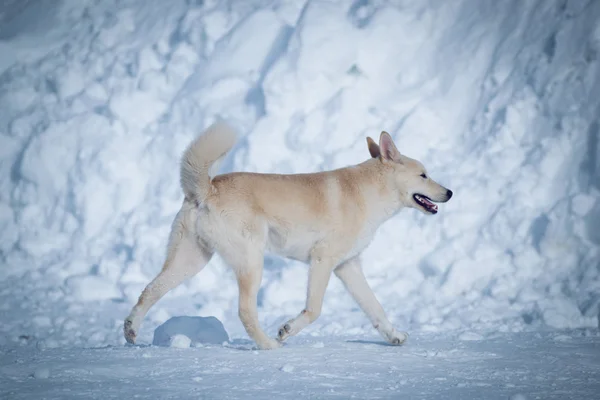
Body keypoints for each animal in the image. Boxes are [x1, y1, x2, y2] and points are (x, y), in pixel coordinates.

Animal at [123, 122, 450, 350]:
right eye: (423, 175)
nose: (449, 192)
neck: (370, 192)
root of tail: (207, 189)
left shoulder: (349, 266)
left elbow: (376, 308)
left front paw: (393, 335)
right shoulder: (323, 261)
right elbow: (314, 310)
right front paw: (287, 330)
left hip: (190, 261)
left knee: (149, 291)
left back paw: (130, 331)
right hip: (250, 263)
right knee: (245, 311)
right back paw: (269, 344)